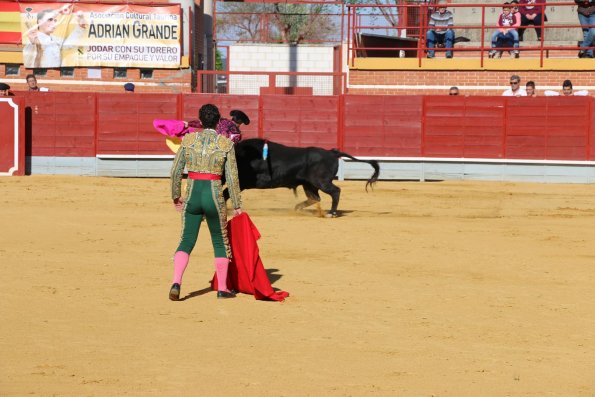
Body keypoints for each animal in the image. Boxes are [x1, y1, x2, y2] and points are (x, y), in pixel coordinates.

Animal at [224, 138, 382, 215]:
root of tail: (331, 152)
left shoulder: (243, 182)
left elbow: (226, 192)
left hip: (321, 182)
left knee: (335, 191)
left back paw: (332, 213)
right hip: (309, 184)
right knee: (315, 198)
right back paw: (298, 208)